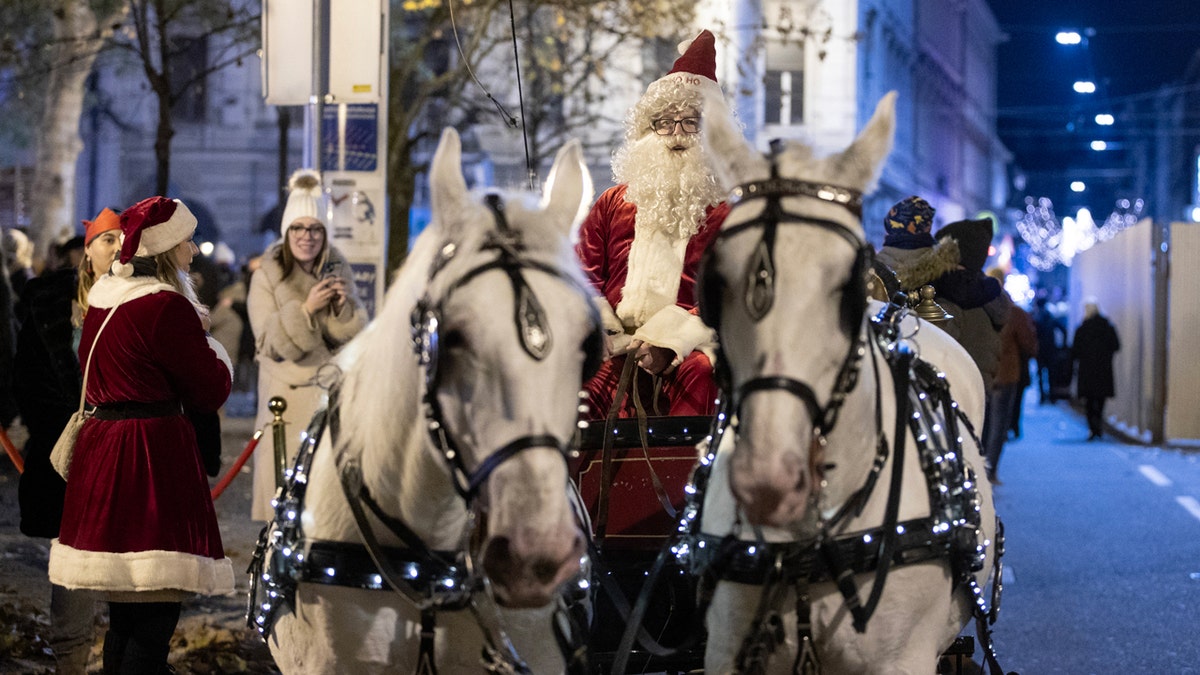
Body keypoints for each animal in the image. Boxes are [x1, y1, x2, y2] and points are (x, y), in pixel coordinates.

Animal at [686, 90, 1003, 672]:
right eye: (713, 283)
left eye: (849, 284)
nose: (769, 479)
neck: (806, 541)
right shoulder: (725, 652)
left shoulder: (905, 659)